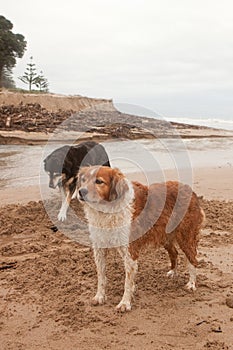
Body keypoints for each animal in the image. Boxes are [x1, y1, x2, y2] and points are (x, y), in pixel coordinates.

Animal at [76, 166, 204, 312]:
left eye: (99, 181)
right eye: (83, 180)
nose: (81, 191)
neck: (107, 210)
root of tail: (191, 191)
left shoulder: (130, 251)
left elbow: (127, 282)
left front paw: (125, 303)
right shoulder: (99, 249)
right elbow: (101, 277)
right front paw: (99, 297)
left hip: (186, 237)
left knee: (193, 259)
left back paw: (191, 284)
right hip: (165, 237)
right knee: (174, 253)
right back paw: (173, 272)